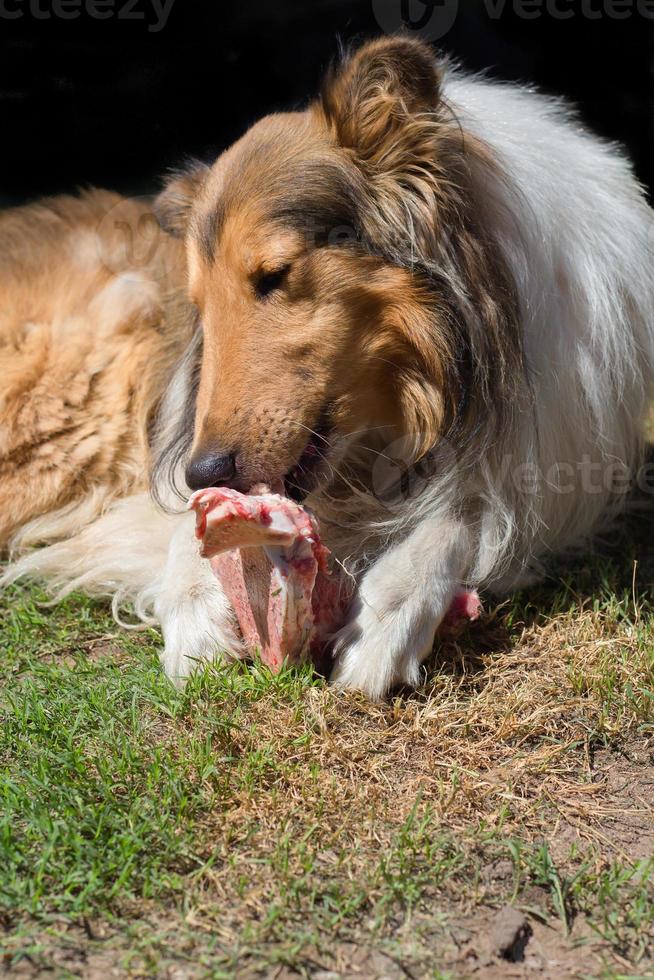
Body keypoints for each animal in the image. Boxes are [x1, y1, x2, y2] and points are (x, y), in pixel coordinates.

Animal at [1, 38, 654, 696]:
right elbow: (185, 531)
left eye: (273, 275)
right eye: (199, 305)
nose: (202, 470)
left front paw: (386, 621)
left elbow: (459, 518)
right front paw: (197, 619)